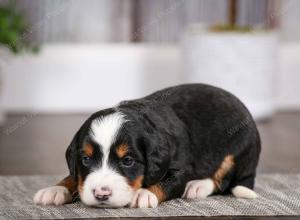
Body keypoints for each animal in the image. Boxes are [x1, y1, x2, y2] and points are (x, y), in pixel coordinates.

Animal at [33, 84, 260, 208]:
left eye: (128, 161)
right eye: (86, 159)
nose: (101, 194)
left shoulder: (181, 169)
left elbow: (165, 183)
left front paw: (143, 194)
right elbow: (73, 175)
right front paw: (56, 189)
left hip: (237, 150)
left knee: (223, 180)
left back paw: (197, 186)